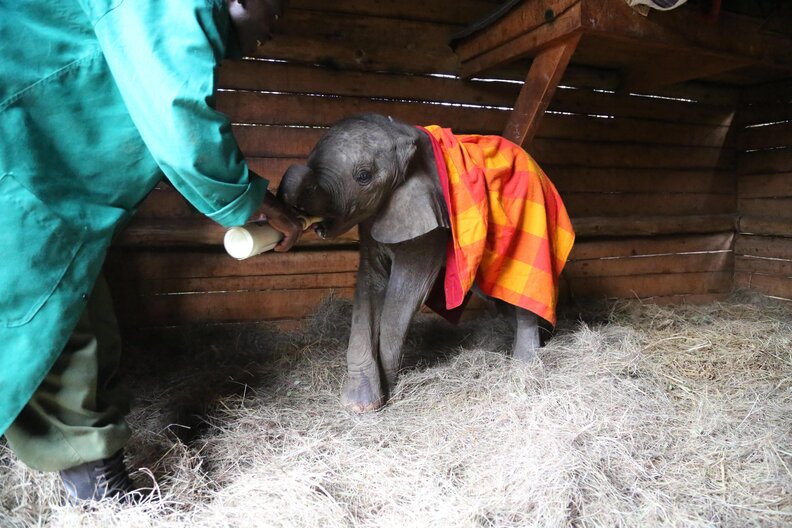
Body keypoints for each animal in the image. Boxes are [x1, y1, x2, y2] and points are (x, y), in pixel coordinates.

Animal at [277, 114, 573, 412]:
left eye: (363, 177)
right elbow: (370, 282)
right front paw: (360, 404)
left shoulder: (429, 220)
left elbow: (404, 291)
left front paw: (388, 387)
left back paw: (525, 364)